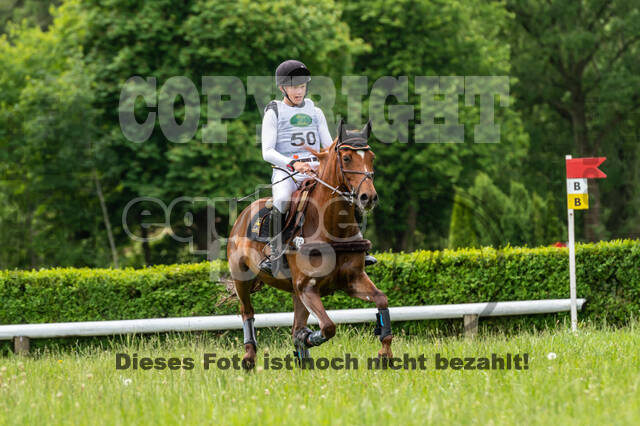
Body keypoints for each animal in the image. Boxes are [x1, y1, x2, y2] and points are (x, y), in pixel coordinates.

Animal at [226, 119, 393, 369]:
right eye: (346, 158)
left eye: (371, 157)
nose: (368, 197)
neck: (331, 228)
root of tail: (243, 215)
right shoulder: (307, 286)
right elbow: (328, 327)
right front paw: (307, 339)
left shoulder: (352, 280)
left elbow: (381, 299)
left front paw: (385, 352)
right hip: (241, 279)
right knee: (247, 312)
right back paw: (249, 358)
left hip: (294, 292)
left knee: (295, 323)